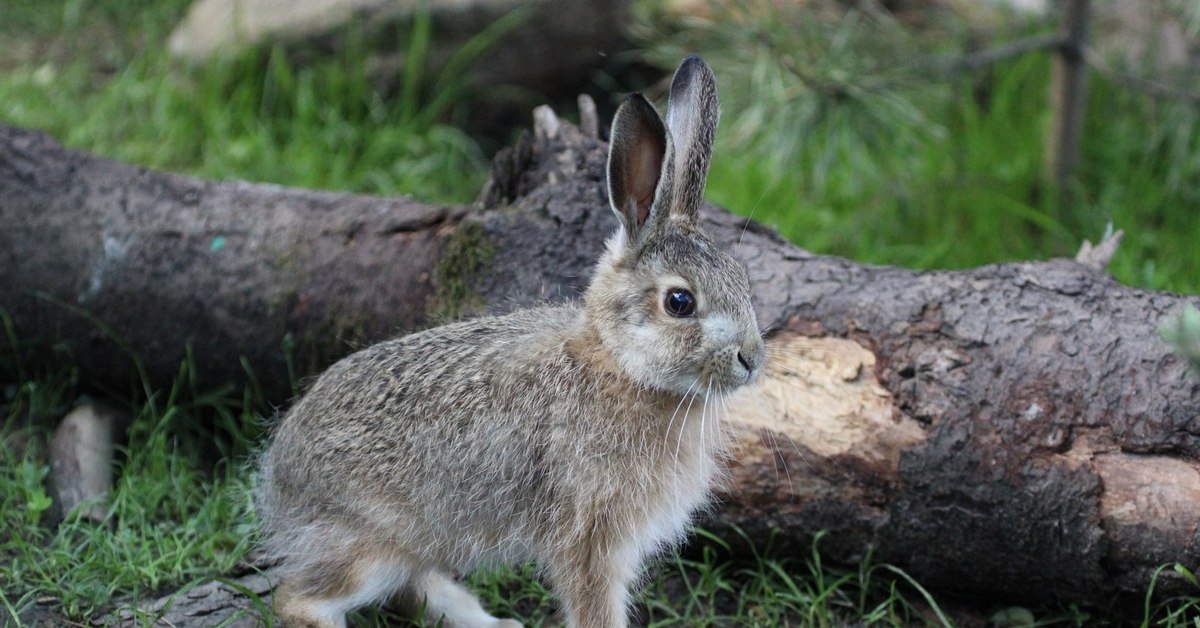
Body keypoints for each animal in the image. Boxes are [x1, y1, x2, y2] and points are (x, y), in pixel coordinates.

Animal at [254, 55, 763, 628]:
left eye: (742, 279)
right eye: (679, 302)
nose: (751, 360)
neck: (620, 366)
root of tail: (278, 475)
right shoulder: (590, 537)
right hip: (373, 546)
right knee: (300, 597)